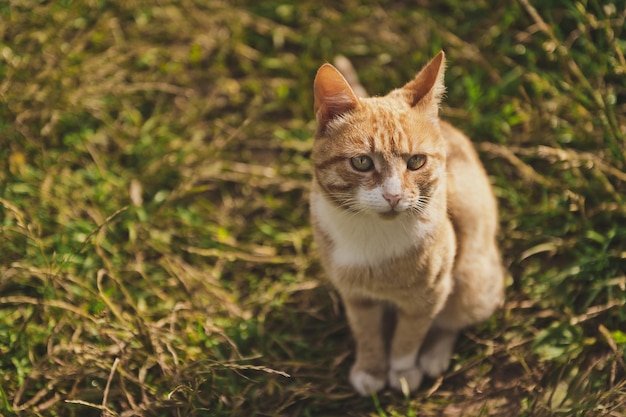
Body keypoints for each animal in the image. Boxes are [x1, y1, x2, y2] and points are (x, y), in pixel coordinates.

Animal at [310, 50, 504, 394]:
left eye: (416, 161)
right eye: (361, 162)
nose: (393, 195)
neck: (373, 236)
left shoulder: (429, 295)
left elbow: (409, 336)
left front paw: (401, 372)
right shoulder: (355, 296)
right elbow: (366, 332)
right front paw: (371, 369)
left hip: (473, 282)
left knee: (454, 318)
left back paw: (434, 356)